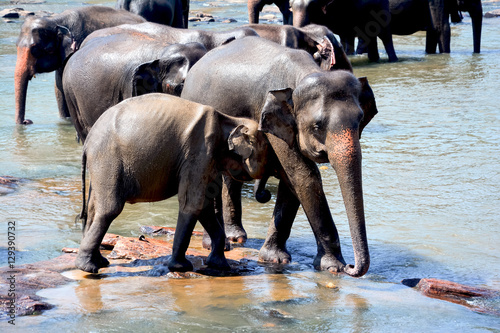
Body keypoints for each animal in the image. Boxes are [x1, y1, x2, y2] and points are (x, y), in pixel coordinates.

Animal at [77, 91, 282, 272]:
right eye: (270, 153)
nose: (266, 194)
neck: (229, 119)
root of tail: (87, 143)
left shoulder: (207, 160)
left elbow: (204, 206)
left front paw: (219, 265)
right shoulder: (199, 152)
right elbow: (192, 204)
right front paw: (181, 267)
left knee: (93, 209)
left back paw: (99, 262)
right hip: (108, 160)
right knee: (109, 210)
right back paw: (89, 268)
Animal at [181, 35, 378, 278]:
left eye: (360, 120)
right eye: (317, 126)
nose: (352, 267)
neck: (304, 74)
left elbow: (292, 180)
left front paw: (274, 259)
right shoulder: (274, 121)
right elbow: (304, 177)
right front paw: (333, 267)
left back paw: (236, 237)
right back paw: (219, 244)